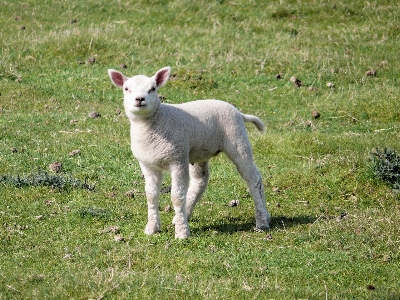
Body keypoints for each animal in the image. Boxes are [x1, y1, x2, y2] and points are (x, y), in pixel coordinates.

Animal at [108, 67, 270, 238]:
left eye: (153, 89)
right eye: (126, 89)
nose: (140, 99)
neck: (155, 123)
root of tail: (239, 113)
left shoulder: (177, 160)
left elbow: (177, 196)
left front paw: (182, 232)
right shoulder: (147, 165)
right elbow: (151, 195)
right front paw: (152, 228)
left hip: (237, 140)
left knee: (253, 178)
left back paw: (262, 220)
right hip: (199, 151)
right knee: (201, 180)